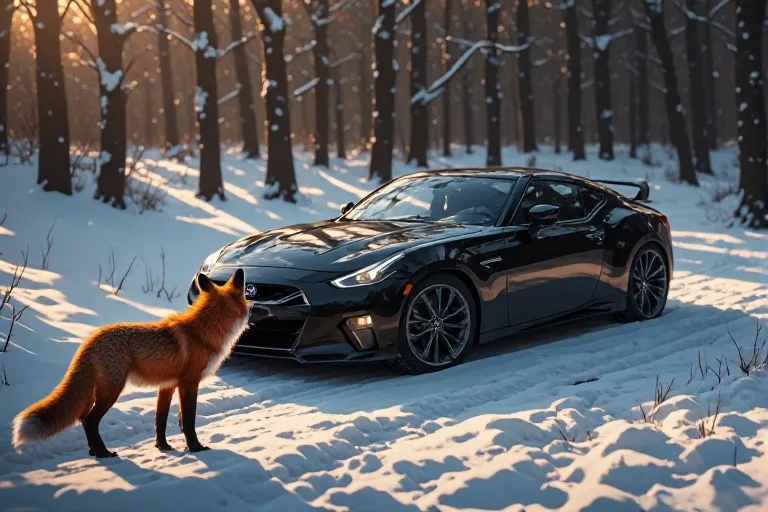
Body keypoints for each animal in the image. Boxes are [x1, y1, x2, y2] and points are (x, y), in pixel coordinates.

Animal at [11, 269, 249, 458]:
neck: (201, 333)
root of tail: (90, 338)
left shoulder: (167, 385)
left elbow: (161, 420)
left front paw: (163, 446)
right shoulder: (189, 383)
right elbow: (188, 420)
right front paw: (195, 448)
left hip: (99, 391)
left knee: (83, 419)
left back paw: (94, 451)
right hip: (112, 390)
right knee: (89, 420)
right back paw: (103, 453)